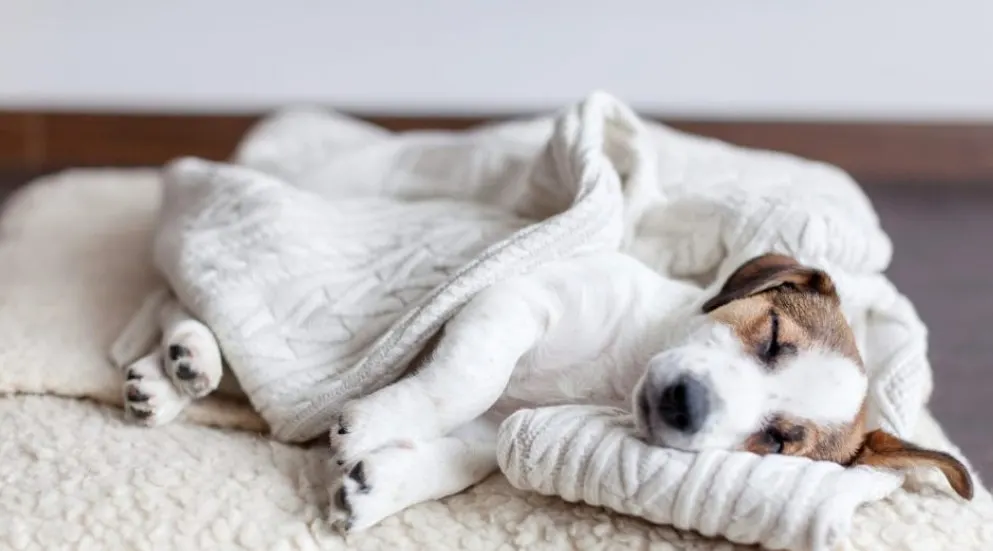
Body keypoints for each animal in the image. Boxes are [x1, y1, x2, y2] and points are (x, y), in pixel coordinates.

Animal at [120, 252, 972, 532]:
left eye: (778, 441)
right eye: (768, 336)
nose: (684, 406)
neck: (621, 368)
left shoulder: (497, 422)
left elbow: (462, 454)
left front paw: (378, 482)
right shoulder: (511, 301)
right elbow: (461, 381)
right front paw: (375, 419)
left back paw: (170, 379)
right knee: (173, 298)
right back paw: (186, 354)